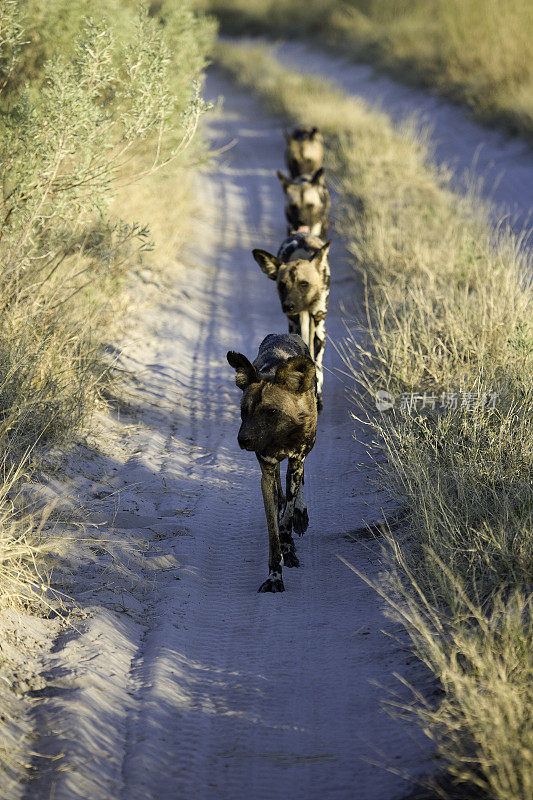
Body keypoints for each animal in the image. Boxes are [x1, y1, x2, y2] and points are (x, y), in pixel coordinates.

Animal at [225, 332, 316, 592]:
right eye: (243, 411)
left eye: (272, 411)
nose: (243, 439)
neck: (280, 437)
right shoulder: (266, 473)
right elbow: (274, 532)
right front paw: (275, 575)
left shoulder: (295, 461)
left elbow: (285, 523)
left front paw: (289, 549)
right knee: (280, 497)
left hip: (300, 460)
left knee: (296, 488)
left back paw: (300, 517)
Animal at [252, 234, 330, 412]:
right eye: (282, 285)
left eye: (304, 284)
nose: (289, 306)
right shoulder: (295, 323)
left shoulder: (318, 325)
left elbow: (317, 365)